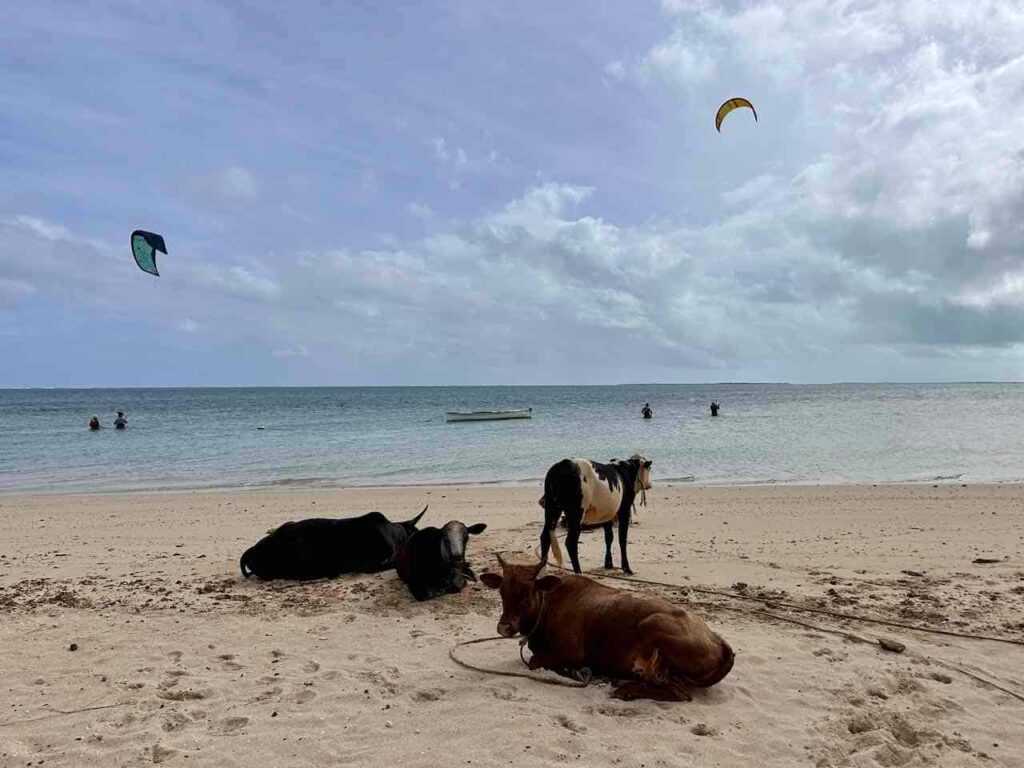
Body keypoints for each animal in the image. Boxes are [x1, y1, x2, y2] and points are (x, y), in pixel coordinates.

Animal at [480, 556, 734, 701]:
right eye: (501, 590)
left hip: (652, 632)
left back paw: (624, 689)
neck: (549, 604)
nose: (504, 627)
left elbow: (535, 661)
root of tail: (719, 641)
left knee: (676, 692)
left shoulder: (571, 651)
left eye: (527, 591)